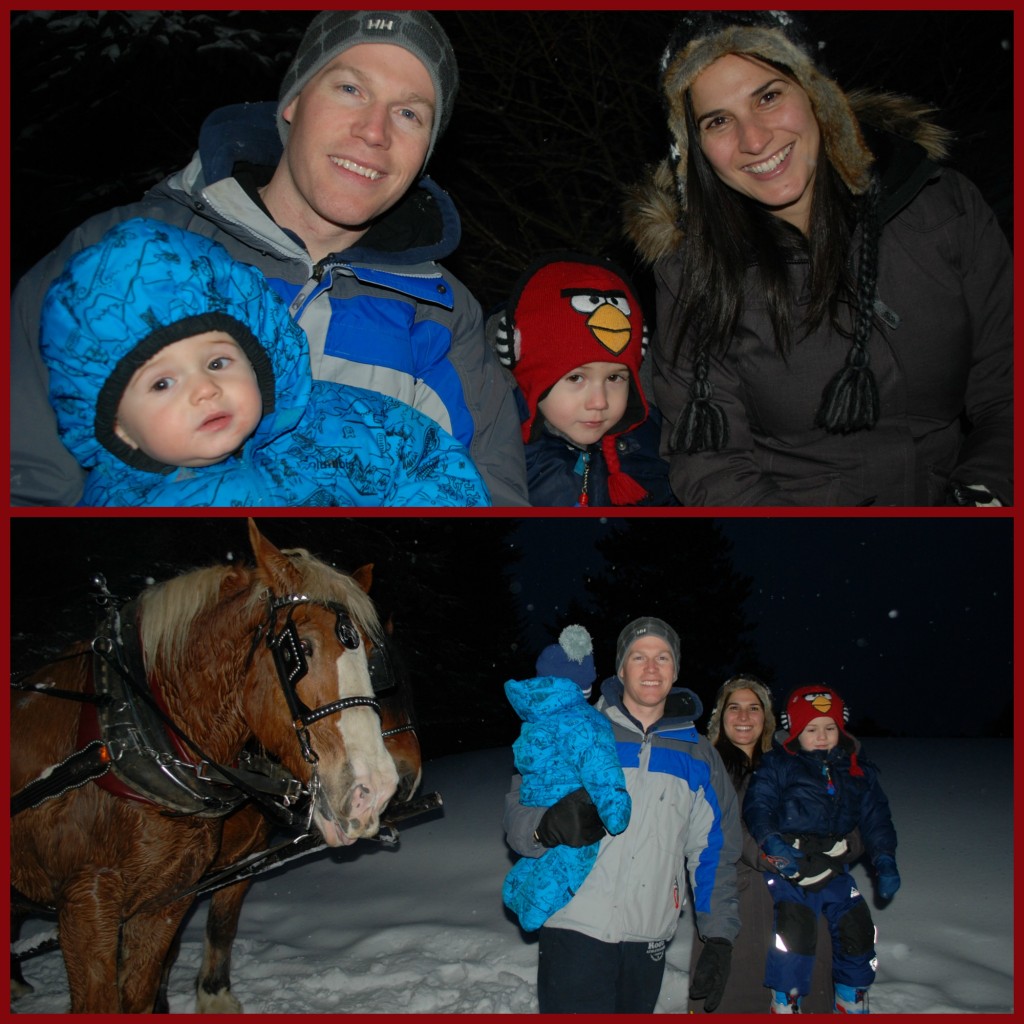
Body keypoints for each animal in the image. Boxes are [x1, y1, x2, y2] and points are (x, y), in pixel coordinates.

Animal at [12, 524, 403, 1011]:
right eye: (301, 648)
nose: (376, 789)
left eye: (371, 655)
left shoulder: (164, 900)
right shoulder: (86, 904)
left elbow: (142, 992)